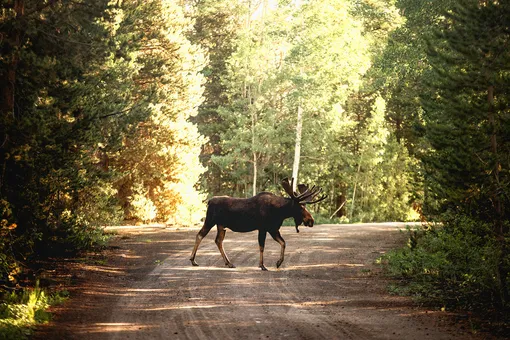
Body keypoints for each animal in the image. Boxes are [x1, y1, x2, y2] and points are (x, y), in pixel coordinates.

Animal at [190, 178, 326, 270]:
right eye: (300, 207)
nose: (311, 220)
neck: (279, 212)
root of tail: (209, 201)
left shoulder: (273, 228)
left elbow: (283, 242)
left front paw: (278, 262)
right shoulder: (263, 228)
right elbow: (262, 246)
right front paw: (262, 265)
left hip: (221, 226)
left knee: (218, 241)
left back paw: (229, 263)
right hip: (210, 220)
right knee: (200, 235)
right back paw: (193, 260)